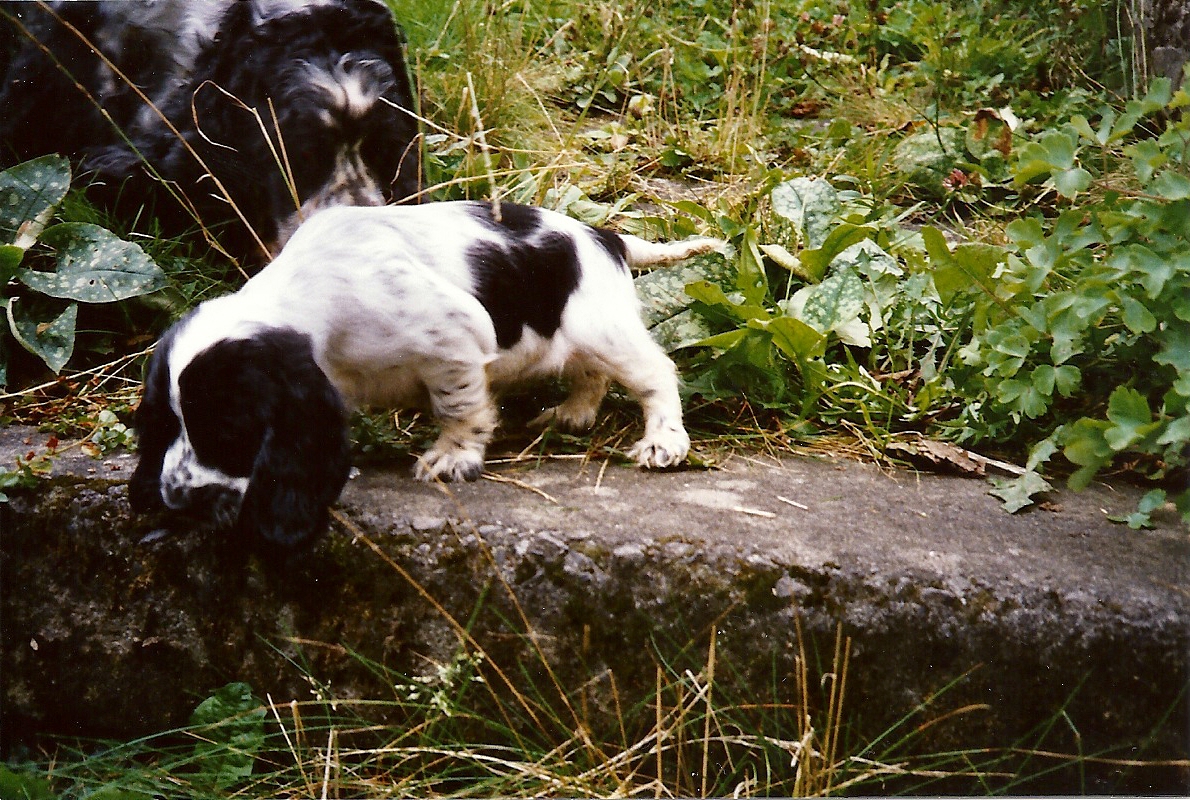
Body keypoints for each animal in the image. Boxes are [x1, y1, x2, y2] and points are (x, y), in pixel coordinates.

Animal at [129, 201, 723, 548]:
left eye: (227, 432)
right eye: (166, 424)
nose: (174, 500)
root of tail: (606, 237)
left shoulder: (453, 336)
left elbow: (459, 404)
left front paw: (451, 457)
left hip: (602, 328)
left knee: (655, 373)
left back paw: (663, 441)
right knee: (589, 375)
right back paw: (572, 414)